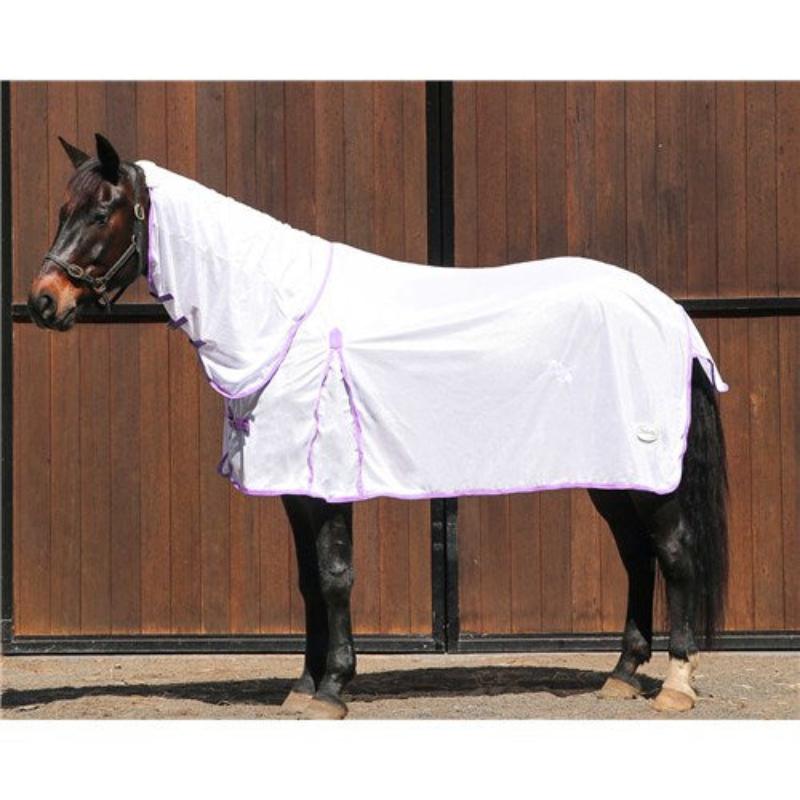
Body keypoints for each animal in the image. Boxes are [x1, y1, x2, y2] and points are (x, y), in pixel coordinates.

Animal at [27, 133, 729, 719]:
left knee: (675, 552)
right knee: (637, 557)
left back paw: (675, 684)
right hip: (613, 474)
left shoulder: (330, 485)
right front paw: (304, 688)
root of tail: (668, 311)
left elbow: (336, 576)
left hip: (651, 476)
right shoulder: (297, 488)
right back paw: (620, 674)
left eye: (101, 213)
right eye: (62, 209)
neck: (285, 316)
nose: (43, 301)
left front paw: (333, 689)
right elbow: (310, 581)